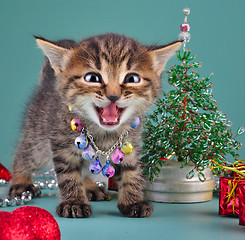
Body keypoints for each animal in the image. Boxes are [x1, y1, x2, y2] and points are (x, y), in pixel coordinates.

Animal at [8, 32, 181, 218]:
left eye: (132, 79)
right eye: (92, 78)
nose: (113, 96)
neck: (104, 133)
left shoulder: (131, 144)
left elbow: (131, 171)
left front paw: (133, 200)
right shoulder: (61, 146)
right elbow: (69, 175)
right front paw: (74, 202)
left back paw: (91, 186)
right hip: (38, 135)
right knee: (25, 154)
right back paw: (21, 181)